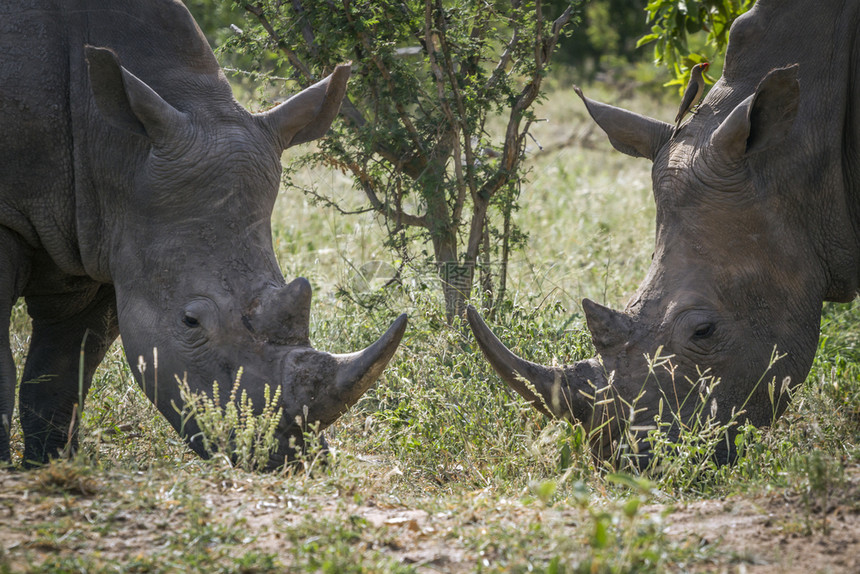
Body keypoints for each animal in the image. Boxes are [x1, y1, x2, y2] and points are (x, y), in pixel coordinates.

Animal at [1, 0, 408, 470]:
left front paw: (49, 467)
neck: (112, 148)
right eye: (190, 322)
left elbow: (61, 376)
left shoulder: (105, 243)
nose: (285, 458)